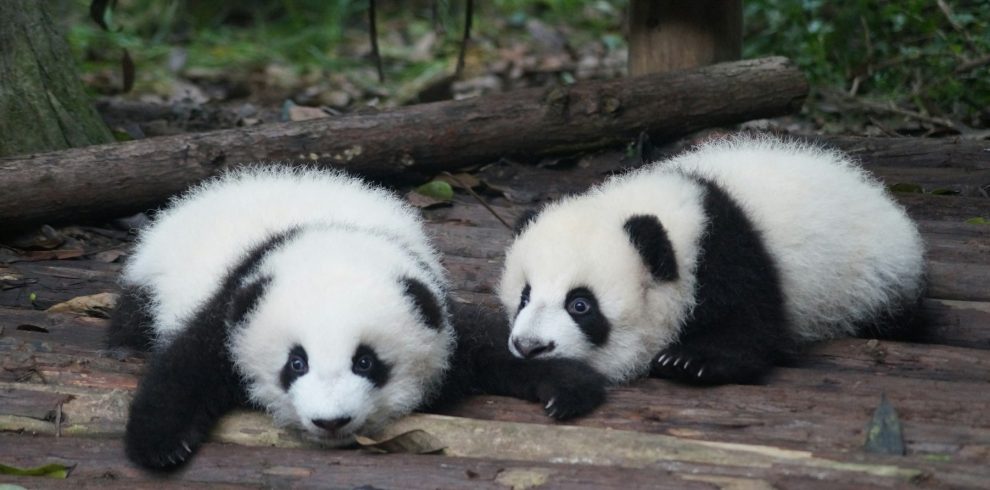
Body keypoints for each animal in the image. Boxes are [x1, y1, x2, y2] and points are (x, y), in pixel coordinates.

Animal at [108, 167, 604, 470]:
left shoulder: (433, 303)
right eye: (296, 363)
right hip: (150, 280)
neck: (332, 237)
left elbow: (490, 344)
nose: (331, 422)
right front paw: (161, 444)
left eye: (366, 362)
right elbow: (187, 364)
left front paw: (567, 386)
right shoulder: (236, 301)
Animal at [504, 135, 928, 386]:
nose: (529, 347)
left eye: (580, 305)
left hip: (874, 279)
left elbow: (752, 327)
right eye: (524, 297)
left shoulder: (729, 253)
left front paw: (689, 361)